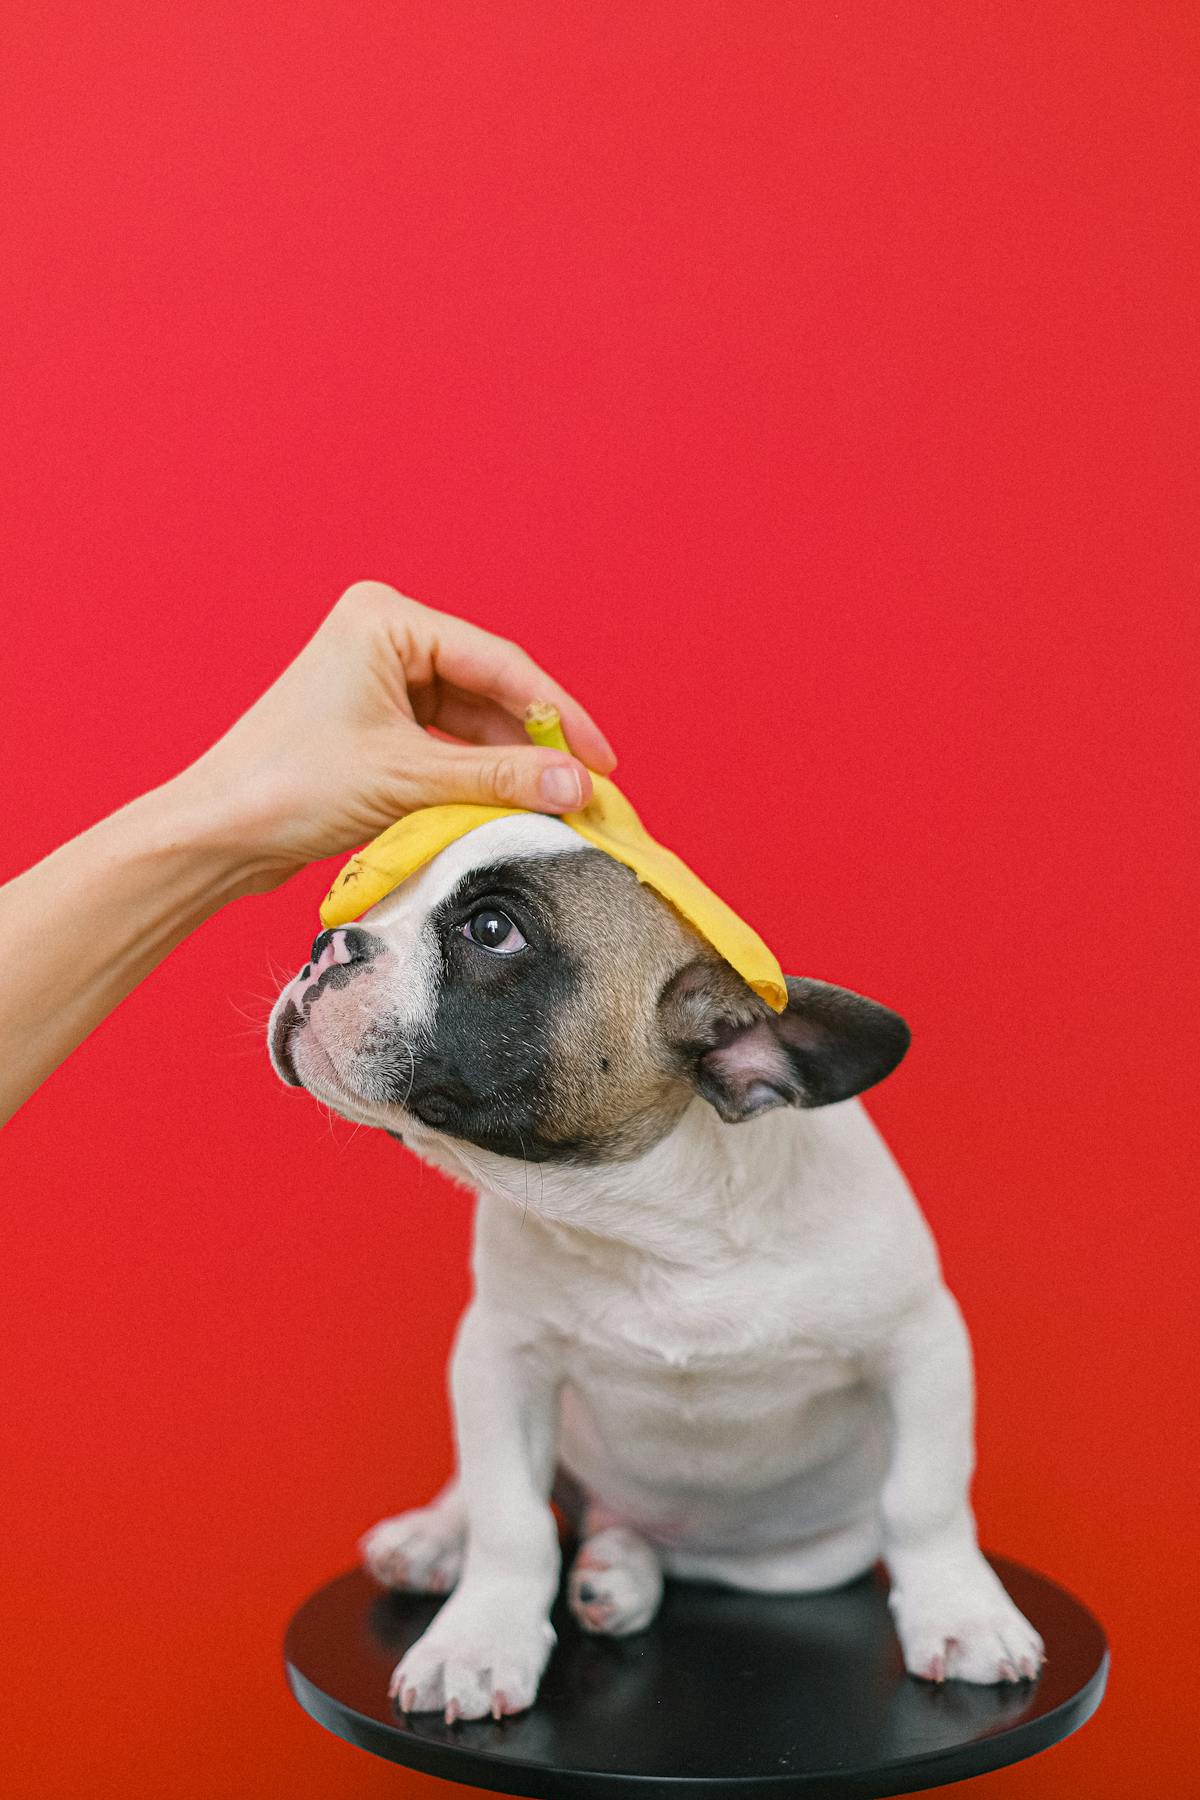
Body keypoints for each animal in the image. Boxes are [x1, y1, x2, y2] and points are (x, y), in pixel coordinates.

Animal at [264, 813, 1043, 1713]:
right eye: (371, 902)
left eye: (491, 930)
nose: (329, 943)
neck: (653, 1231)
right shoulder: (500, 1358)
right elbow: (509, 1516)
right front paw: (479, 1639)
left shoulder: (920, 1345)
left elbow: (928, 1498)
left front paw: (963, 1615)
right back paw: (441, 1538)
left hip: (796, 1562)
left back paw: (617, 1573)